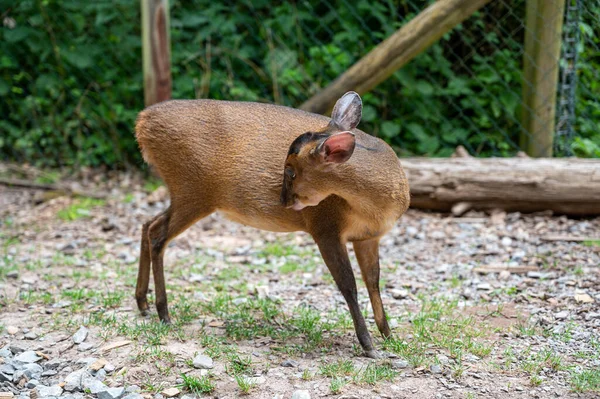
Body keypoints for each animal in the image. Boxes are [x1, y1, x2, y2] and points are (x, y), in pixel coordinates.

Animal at [134, 91, 410, 360]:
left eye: (290, 171)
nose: (282, 200)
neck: (375, 209)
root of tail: (142, 122)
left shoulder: (369, 237)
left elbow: (373, 282)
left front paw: (388, 335)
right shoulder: (324, 227)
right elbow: (349, 285)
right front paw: (369, 346)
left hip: (188, 194)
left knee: (148, 224)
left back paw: (143, 303)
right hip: (193, 189)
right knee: (158, 234)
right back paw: (163, 313)